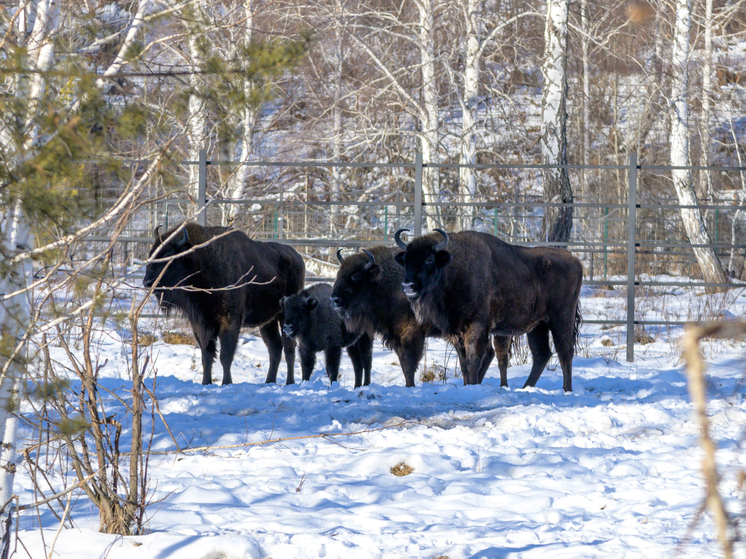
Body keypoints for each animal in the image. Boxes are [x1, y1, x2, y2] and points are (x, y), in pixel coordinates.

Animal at [141, 222, 304, 384]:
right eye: (152, 254)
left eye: (169, 257)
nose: (147, 282)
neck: (203, 263)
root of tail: (297, 257)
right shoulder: (201, 323)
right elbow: (206, 356)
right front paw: (206, 383)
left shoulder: (229, 320)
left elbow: (225, 355)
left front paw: (227, 383)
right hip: (267, 322)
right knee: (275, 348)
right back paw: (269, 381)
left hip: (285, 317)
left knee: (289, 348)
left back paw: (289, 382)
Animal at [328, 247, 434, 388]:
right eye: (339, 274)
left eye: (357, 276)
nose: (335, 300)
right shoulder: (394, 337)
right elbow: (403, 363)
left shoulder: (411, 335)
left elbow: (409, 363)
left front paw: (410, 386)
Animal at [392, 230, 584, 392]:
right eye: (406, 260)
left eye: (429, 260)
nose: (408, 286)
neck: (455, 269)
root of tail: (574, 260)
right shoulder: (456, 332)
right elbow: (463, 363)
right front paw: (467, 385)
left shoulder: (476, 327)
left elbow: (473, 360)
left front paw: (472, 385)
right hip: (538, 326)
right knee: (542, 354)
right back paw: (526, 388)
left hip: (561, 318)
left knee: (565, 351)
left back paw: (566, 390)